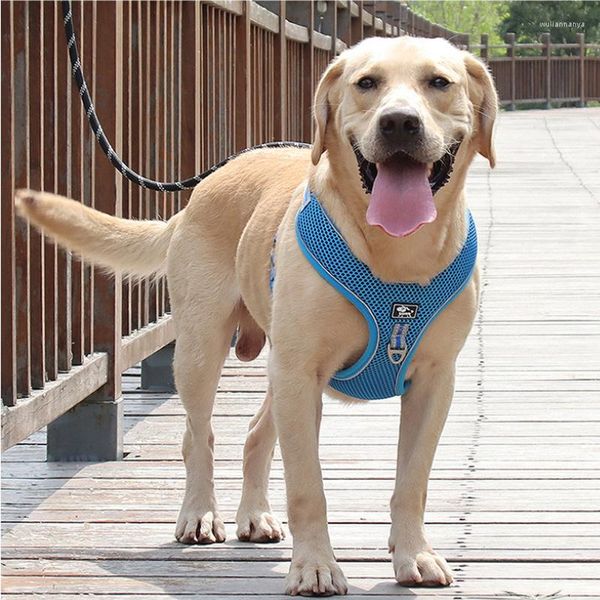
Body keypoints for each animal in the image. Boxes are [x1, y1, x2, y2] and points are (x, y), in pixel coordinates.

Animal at [17, 37, 496, 596]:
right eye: (367, 83)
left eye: (439, 82)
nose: (399, 122)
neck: (396, 255)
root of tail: (199, 191)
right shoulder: (300, 373)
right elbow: (307, 485)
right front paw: (314, 566)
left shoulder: (433, 381)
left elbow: (412, 480)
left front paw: (414, 554)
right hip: (204, 351)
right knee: (198, 437)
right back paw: (200, 515)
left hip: (279, 370)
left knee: (254, 433)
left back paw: (255, 516)